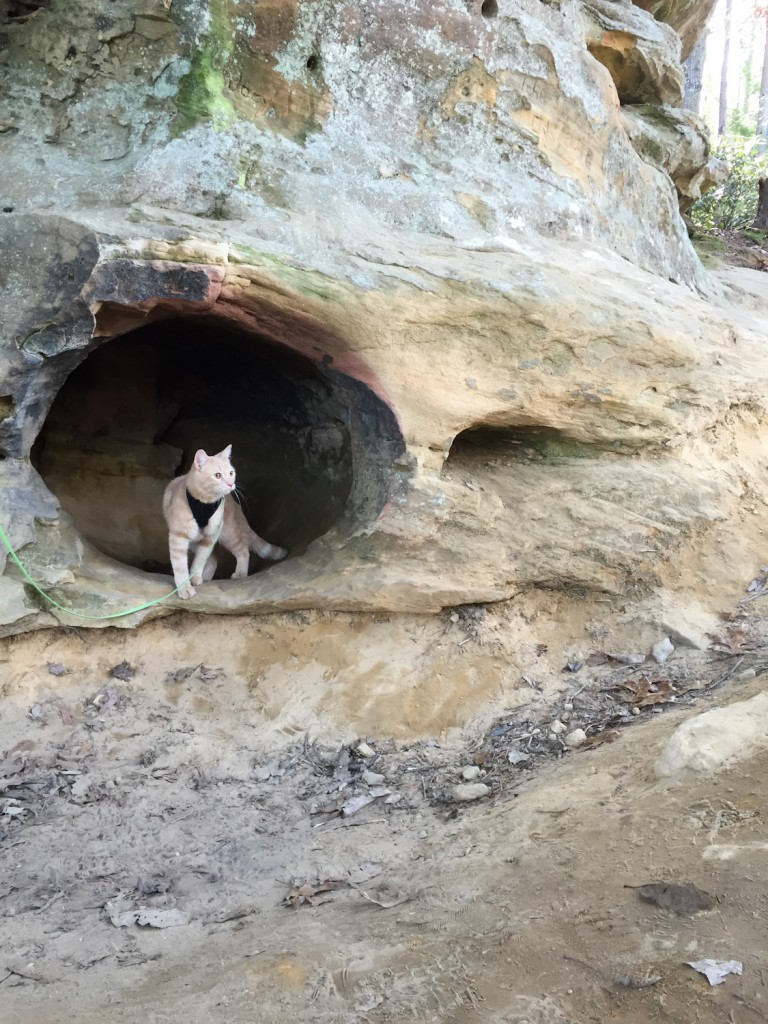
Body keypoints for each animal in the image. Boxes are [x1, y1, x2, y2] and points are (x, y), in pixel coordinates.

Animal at [162, 442, 288, 598]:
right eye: (217, 475)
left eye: (231, 473)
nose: (230, 484)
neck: (204, 503)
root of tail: (234, 504)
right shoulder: (179, 536)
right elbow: (180, 567)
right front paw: (185, 587)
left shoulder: (210, 536)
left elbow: (199, 561)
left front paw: (194, 578)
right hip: (196, 541)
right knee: (214, 560)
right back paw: (206, 578)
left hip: (228, 534)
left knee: (243, 551)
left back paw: (240, 573)